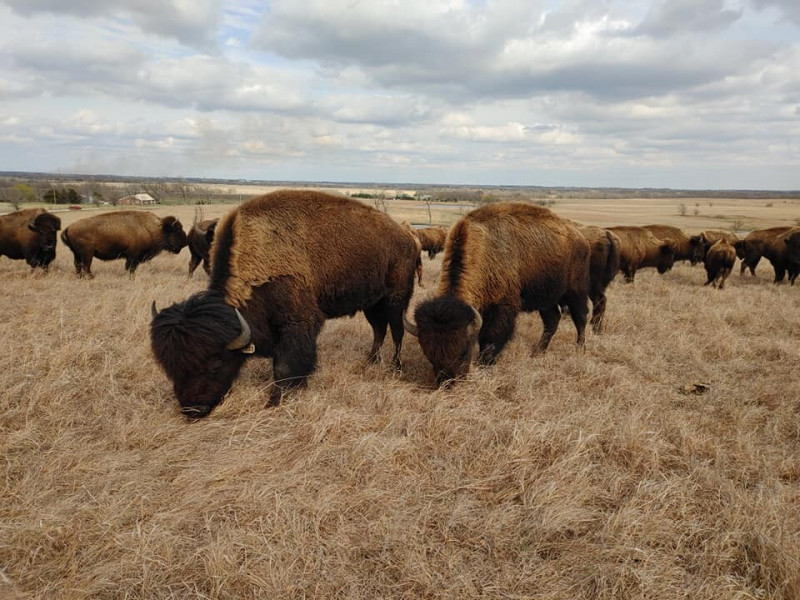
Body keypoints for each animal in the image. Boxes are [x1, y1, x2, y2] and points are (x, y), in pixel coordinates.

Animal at [150, 190, 420, 417]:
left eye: (216, 364)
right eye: (170, 367)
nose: (192, 410)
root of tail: (408, 238)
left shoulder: (298, 323)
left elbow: (284, 366)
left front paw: (274, 402)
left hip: (395, 300)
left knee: (396, 331)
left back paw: (395, 368)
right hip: (371, 305)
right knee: (379, 330)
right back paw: (369, 362)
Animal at [403, 203, 590, 387]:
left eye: (464, 350)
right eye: (429, 354)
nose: (448, 382)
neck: (484, 250)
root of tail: (581, 238)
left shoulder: (502, 308)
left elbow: (491, 336)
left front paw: (486, 363)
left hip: (575, 293)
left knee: (580, 318)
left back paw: (580, 349)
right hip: (546, 300)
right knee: (552, 321)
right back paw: (538, 352)